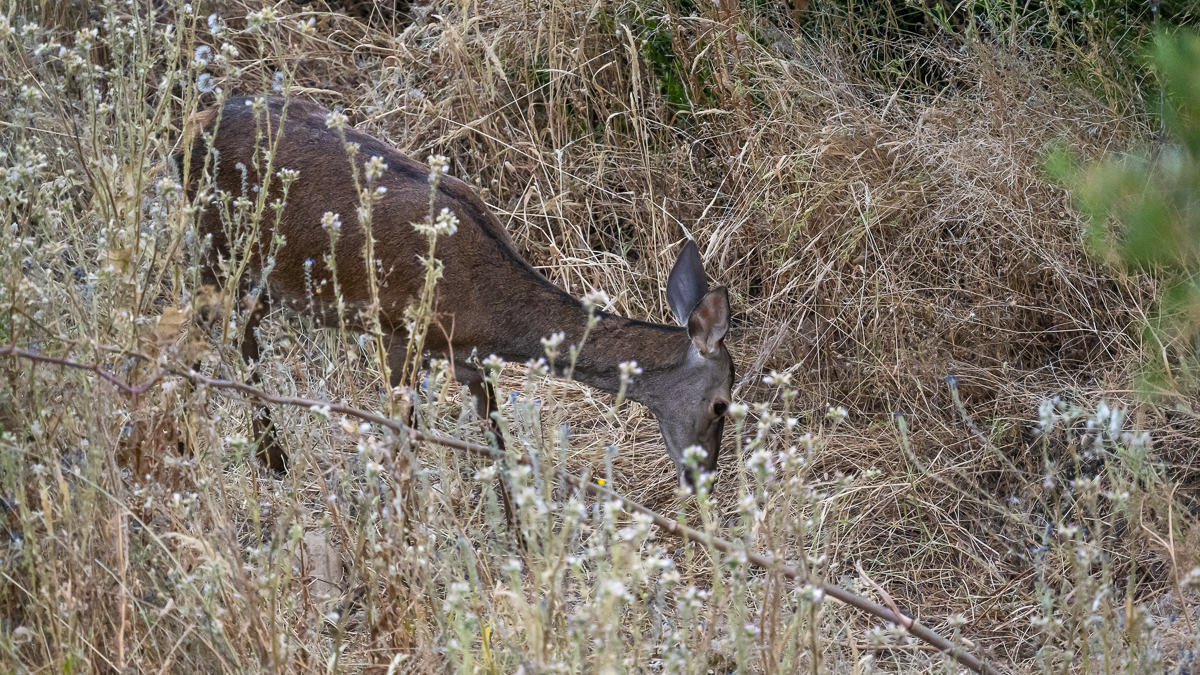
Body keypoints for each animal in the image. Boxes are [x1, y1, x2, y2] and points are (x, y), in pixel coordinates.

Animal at [175, 96, 734, 487]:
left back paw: (268, 458)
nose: (702, 479)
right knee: (198, 333)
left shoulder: (468, 360)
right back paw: (195, 451)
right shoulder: (398, 332)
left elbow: (499, 445)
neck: (486, 313)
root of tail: (193, 125)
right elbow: (404, 440)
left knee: (241, 335)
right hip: (214, 249)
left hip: (262, 278)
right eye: (721, 405)